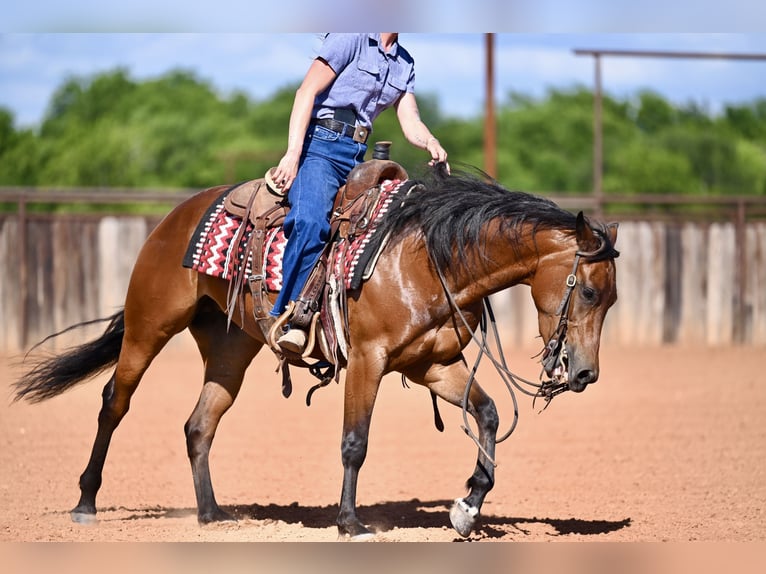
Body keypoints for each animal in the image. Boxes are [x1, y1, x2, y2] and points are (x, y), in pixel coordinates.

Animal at [13, 163, 619, 539]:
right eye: (589, 291)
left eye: (612, 298)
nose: (585, 374)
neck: (427, 256)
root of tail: (175, 217)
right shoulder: (369, 360)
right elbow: (355, 442)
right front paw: (350, 521)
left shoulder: (431, 365)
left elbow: (489, 415)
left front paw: (468, 507)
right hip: (148, 325)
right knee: (114, 403)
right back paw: (86, 503)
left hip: (229, 348)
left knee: (199, 424)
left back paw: (212, 514)